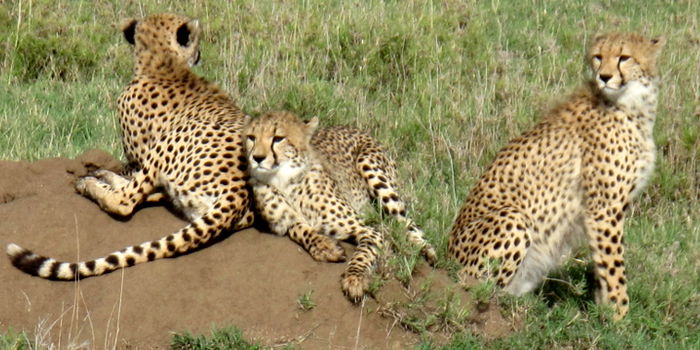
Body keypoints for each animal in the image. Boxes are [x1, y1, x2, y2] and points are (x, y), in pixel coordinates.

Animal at [6, 13, 254, 278]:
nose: (199, 54)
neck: (164, 64)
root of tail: (240, 195)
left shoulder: (141, 154)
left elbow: (131, 177)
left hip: (170, 143)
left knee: (124, 201)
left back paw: (90, 183)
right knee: (152, 194)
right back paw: (102, 175)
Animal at [243, 111, 434, 300]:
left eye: (278, 138)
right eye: (251, 137)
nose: (257, 158)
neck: (283, 180)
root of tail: (351, 127)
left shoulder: (370, 230)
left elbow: (364, 252)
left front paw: (355, 279)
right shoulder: (287, 222)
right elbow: (300, 229)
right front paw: (326, 247)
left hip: (371, 168)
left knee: (405, 221)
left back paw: (426, 250)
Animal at [448, 33, 668, 320]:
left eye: (624, 57)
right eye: (598, 57)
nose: (605, 76)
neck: (630, 103)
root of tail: (447, 259)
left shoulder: (599, 213)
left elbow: (602, 264)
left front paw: (603, 311)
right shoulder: (604, 208)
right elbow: (614, 267)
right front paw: (620, 317)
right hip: (512, 219)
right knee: (482, 288)